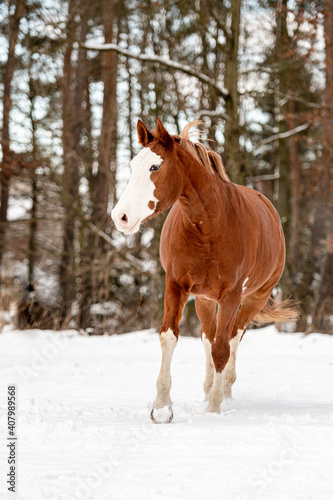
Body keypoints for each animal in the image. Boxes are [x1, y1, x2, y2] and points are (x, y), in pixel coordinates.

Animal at [111, 119, 296, 424]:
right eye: (133, 164)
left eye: (155, 167)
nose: (120, 216)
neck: (209, 226)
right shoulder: (177, 285)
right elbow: (170, 337)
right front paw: (162, 407)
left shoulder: (231, 295)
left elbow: (223, 347)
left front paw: (214, 408)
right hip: (205, 300)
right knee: (209, 338)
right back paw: (210, 386)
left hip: (254, 298)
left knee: (233, 337)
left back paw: (225, 388)